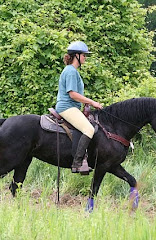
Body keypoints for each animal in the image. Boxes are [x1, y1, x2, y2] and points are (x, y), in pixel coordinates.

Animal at [0, 97, 156, 210]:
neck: (112, 127)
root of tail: (5, 121)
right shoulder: (102, 167)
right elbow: (93, 191)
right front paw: (88, 212)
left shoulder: (114, 166)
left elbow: (132, 181)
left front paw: (133, 208)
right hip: (10, 160)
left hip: (23, 162)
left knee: (15, 187)